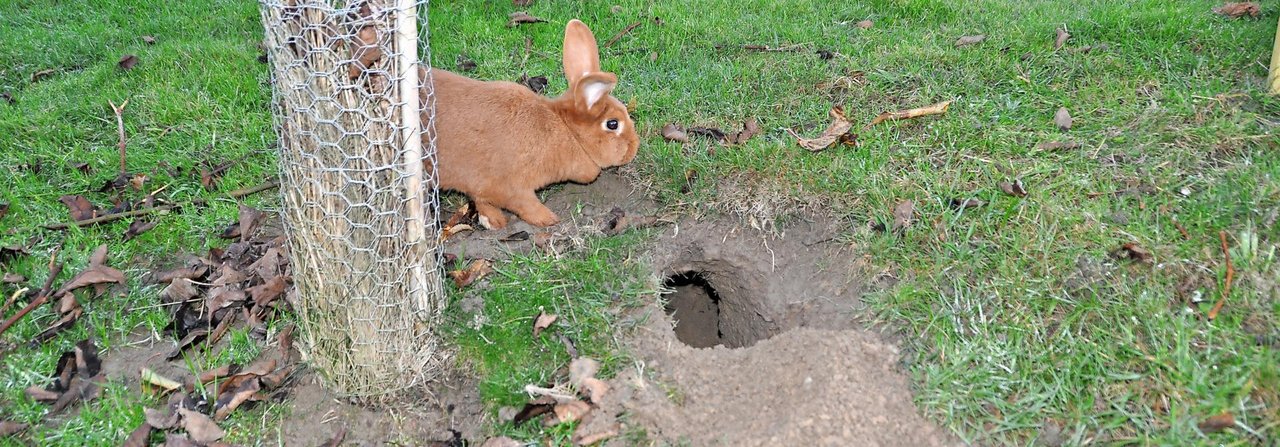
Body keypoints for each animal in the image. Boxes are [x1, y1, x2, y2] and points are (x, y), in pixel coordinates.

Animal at [424, 18, 640, 227]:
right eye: (613, 124)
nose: (634, 148)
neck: (567, 131)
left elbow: (480, 199)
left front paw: (492, 221)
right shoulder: (510, 186)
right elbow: (521, 203)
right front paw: (547, 219)